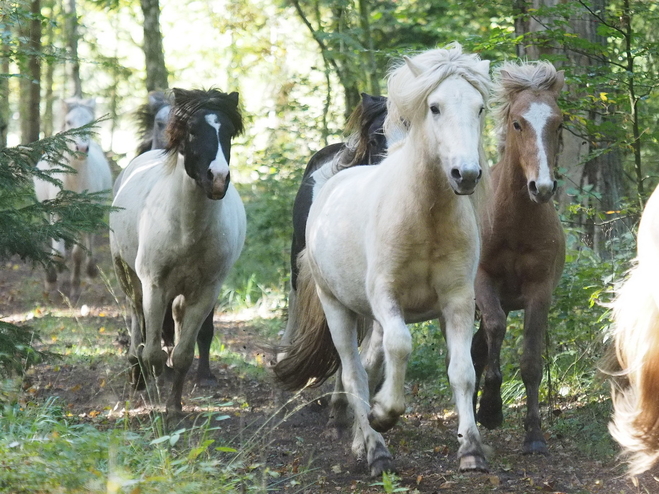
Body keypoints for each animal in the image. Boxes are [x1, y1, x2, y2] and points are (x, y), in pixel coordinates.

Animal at [33, 96, 113, 298]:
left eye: (91, 122)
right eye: (69, 122)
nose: (82, 148)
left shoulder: (84, 215)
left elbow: (78, 253)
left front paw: (75, 287)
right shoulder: (56, 213)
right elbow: (58, 253)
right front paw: (52, 280)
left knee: (89, 239)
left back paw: (90, 270)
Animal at [111, 89, 248, 412]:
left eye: (228, 133)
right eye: (193, 131)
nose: (218, 178)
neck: (188, 230)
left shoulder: (206, 291)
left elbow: (185, 353)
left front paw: (173, 407)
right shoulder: (154, 284)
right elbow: (153, 352)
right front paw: (150, 382)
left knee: (173, 318)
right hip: (127, 274)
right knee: (136, 313)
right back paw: (136, 369)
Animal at [272, 44, 490, 476]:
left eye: (479, 108)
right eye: (435, 107)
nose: (466, 174)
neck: (424, 219)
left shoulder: (457, 300)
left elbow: (462, 371)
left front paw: (471, 449)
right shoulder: (387, 297)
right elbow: (400, 346)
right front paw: (385, 414)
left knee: (368, 364)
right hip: (337, 307)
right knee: (353, 372)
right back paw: (375, 449)